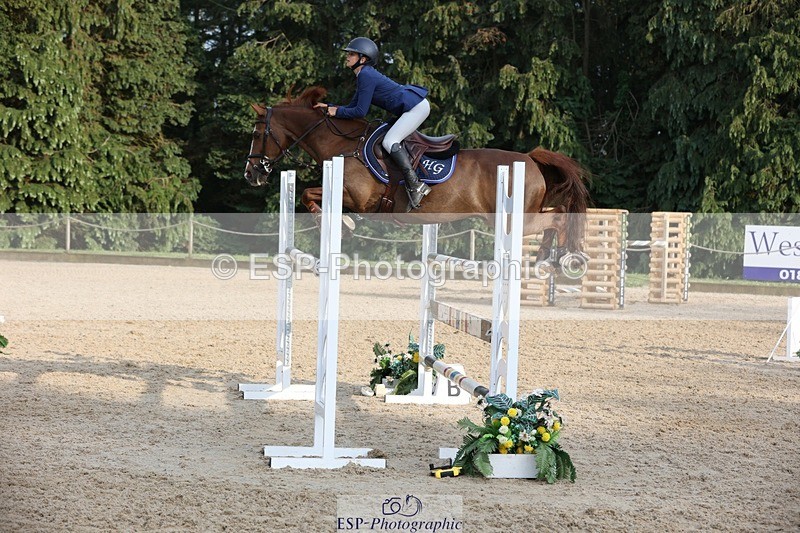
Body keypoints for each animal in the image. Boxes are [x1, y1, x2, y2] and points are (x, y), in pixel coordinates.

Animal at [244, 86, 591, 270]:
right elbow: (307, 195)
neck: (343, 144)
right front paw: (340, 223)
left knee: (559, 216)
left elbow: (310, 195)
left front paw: (343, 223)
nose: (251, 174)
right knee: (555, 216)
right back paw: (546, 256)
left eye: (258, 134)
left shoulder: (357, 198)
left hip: (509, 219)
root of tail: (530, 159)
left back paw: (562, 256)